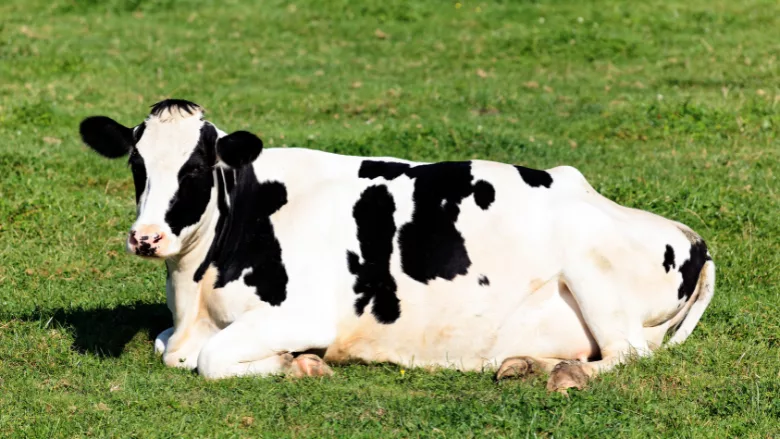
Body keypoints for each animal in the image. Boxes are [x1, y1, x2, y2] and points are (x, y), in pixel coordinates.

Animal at [78, 99, 715, 392]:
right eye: (136, 164)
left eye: (196, 168)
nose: (146, 237)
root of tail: (691, 237)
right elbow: (166, 346)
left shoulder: (305, 313)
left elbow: (207, 359)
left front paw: (298, 363)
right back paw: (525, 363)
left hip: (592, 268)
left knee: (629, 353)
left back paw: (561, 374)